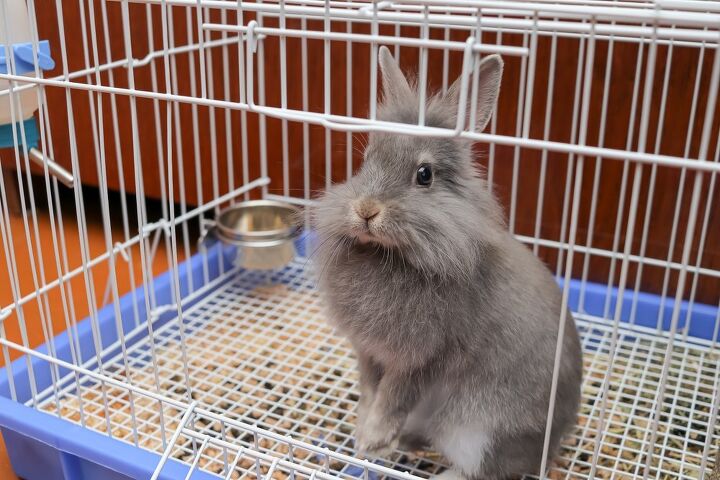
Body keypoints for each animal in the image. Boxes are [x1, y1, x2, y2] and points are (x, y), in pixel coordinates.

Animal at [310, 46, 583, 480]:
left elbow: (393, 397)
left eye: (424, 175)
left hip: (479, 431)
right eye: (366, 160)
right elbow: (370, 390)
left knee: (484, 470)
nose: (366, 210)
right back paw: (404, 442)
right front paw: (363, 433)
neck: (391, 255)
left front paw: (372, 439)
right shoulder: (368, 351)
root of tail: (550, 445)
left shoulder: (422, 358)